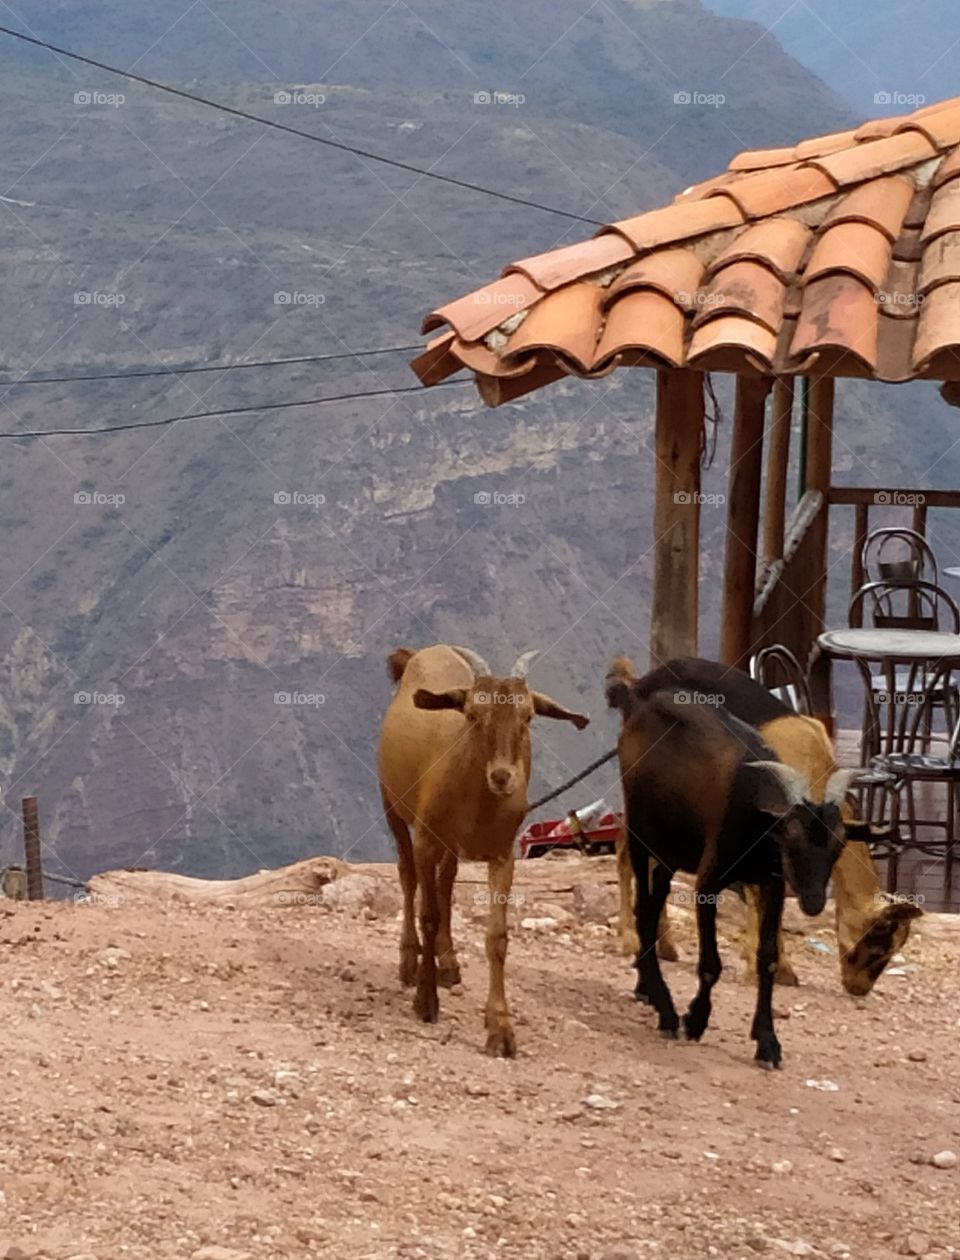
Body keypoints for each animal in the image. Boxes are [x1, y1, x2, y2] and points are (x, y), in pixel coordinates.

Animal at [378, 643, 589, 1056]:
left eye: (528, 716)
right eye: (473, 714)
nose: (502, 777)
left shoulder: (502, 854)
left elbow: (497, 937)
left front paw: (501, 1029)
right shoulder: (427, 837)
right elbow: (427, 912)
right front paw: (425, 1000)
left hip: (449, 844)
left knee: (445, 882)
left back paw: (447, 962)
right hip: (391, 804)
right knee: (409, 877)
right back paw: (410, 961)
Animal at [607, 656, 858, 1068]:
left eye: (839, 844)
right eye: (790, 837)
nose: (813, 902)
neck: (757, 819)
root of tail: (639, 698)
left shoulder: (773, 884)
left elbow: (767, 959)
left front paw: (768, 1042)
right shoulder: (708, 883)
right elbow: (711, 964)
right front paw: (695, 1019)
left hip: (669, 853)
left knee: (652, 907)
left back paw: (648, 990)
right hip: (643, 835)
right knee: (643, 909)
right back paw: (666, 1010)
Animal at [615, 657, 921, 995]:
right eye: (879, 940)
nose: (858, 989)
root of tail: (638, 684)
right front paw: (772, 968)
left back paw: (666, 946)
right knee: (625, 852)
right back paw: (629, 940)